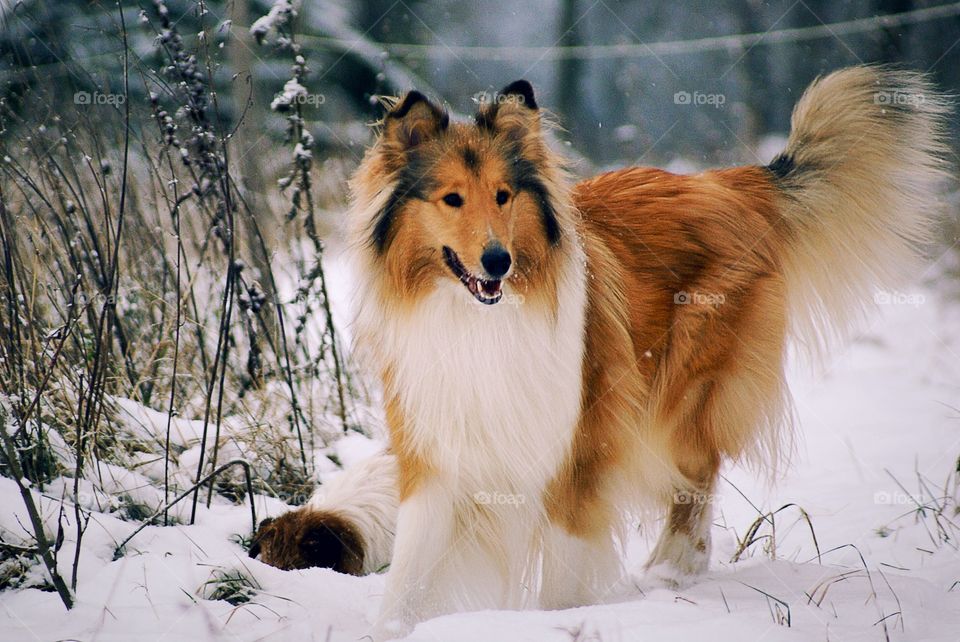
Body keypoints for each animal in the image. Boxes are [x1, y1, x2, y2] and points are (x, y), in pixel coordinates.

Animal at [251, 66, 948, 636]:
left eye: (503, 195)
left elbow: (561, 574)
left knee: (696, 478)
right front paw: (392, 628)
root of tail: (727, 182)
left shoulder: (576, 455)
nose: (498, 261)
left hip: (682, 396)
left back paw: (672, 573)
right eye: (451, 198)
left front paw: (560, 621)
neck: (476, 320)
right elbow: (411, 572)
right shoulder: (437, 450)